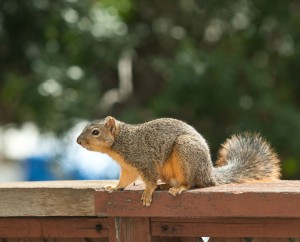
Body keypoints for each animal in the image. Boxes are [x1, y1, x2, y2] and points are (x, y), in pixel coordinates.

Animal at [76, 116, 280, 206]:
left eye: (95, 132)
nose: (78, 141)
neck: (119, 142)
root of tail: (208, 173)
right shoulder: (129, 168)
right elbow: (126, 179)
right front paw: (114, 187)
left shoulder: (143, 158)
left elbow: (149, 178)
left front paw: (148, 192)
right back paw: (165, 185)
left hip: (186, 151)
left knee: (191, 183)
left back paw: (179, 187)